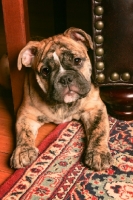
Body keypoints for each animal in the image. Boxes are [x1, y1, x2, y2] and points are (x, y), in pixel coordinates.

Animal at [10, 27, 112, 170]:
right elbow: (23, 133)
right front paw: (23, 151)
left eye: (77, 60)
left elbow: (99, 130)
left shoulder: (94, 108)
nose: (65, 78)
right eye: (45, 70)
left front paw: (98, 153)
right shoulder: (26, 114)